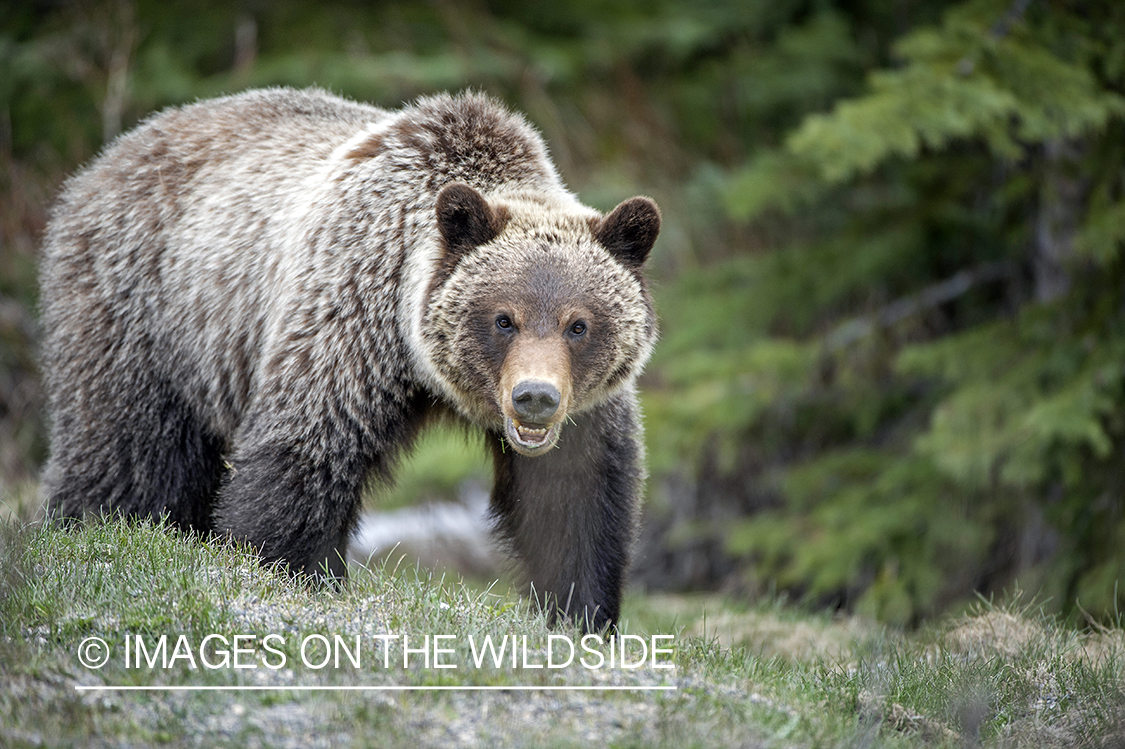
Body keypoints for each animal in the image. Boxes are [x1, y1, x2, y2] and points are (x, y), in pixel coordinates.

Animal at [39, 87, 657, 625]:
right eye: (504, 319)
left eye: (579, 324)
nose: (535, 398)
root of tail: (107, 159)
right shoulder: (349, 323)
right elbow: (303, 456)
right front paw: (287, 570)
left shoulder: (583, 412)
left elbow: (575, 501)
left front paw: (582, 615)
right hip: (144, 313)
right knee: (128, 457)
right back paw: (91, 530)